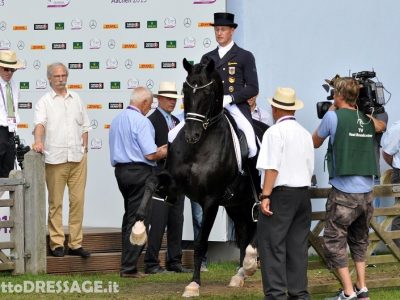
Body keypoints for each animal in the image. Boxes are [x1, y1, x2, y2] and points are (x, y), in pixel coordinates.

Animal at [134, 58, 260, 298]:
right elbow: (150, 182)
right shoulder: (174, 185)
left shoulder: (211, 199)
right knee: (243, 229)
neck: (199, 147)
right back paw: (240, 274)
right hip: (236, 204)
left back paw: (249, 264)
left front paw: (193, 284)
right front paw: (137, 231)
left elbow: (201, 242)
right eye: (185, 89)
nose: (191, 135)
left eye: (208, 92)